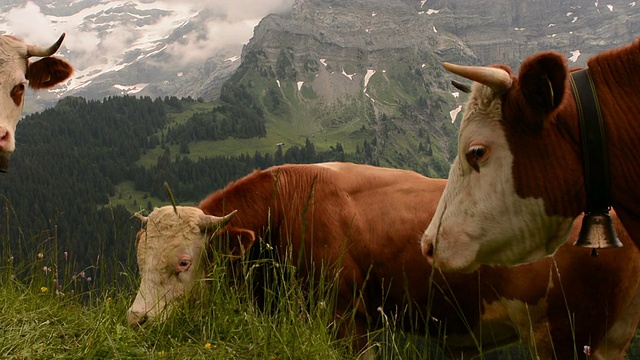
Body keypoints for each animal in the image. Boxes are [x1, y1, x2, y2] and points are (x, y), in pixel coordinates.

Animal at [126, 164, 640, 360]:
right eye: (140, 261)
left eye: (184, 262)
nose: (137, 321)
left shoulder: (342, 317)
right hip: (609, 335)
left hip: (566, 333)